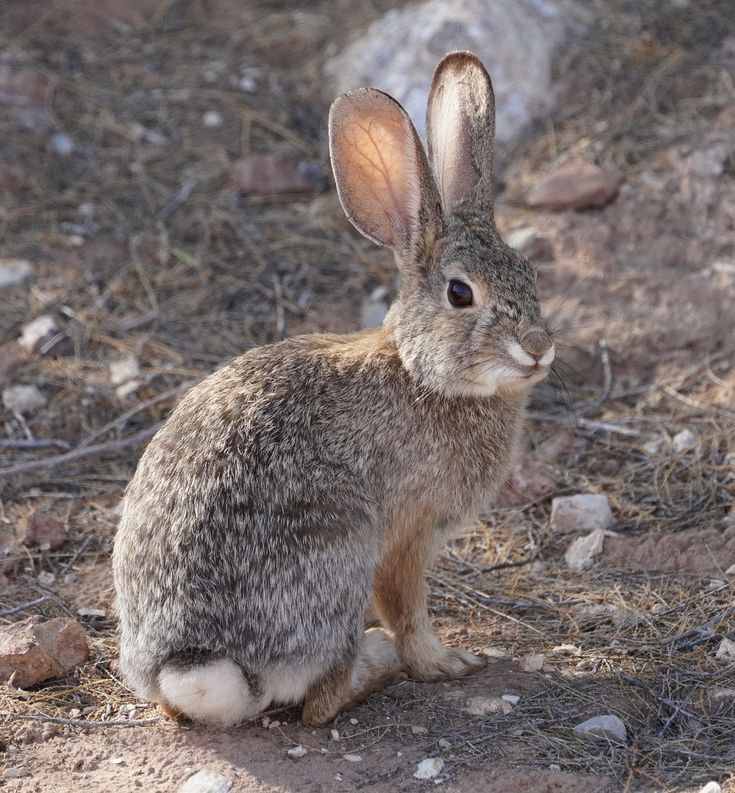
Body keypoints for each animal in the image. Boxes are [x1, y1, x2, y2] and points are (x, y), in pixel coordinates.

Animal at [112, 49, 556, 728]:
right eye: (460, 293)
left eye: (529, 273)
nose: (538, 347)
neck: (423, 375)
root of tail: (192, 663)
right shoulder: (404, 535)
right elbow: (408, 610)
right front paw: (445, 663)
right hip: (338, 539)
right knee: (320, 703)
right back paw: (376, 665)